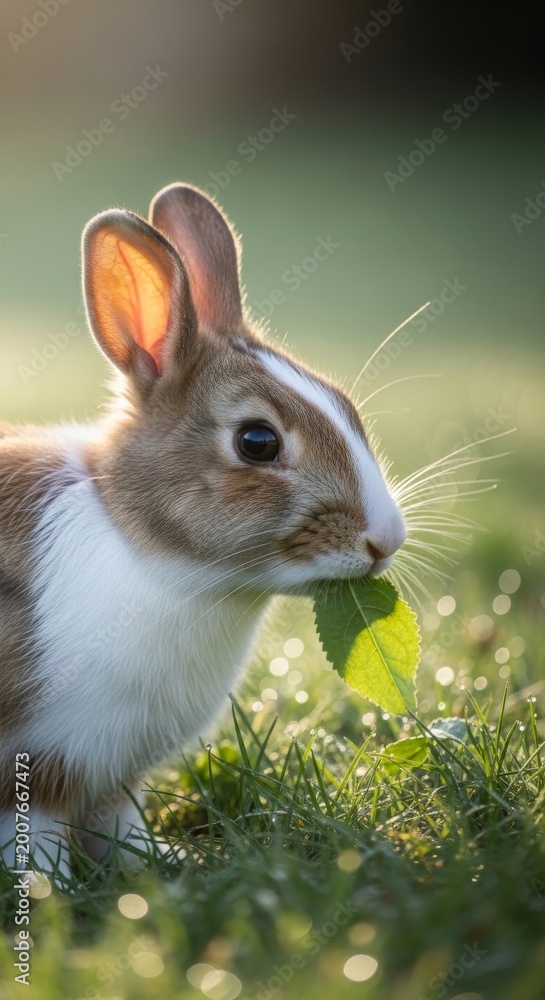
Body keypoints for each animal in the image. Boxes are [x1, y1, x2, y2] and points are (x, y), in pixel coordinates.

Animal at [0, 183, 406, 882]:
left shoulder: (113, 778)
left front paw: (164, 862)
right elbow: (35, 837)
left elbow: (120, 826)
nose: (387, 539)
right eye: (257, 441)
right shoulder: (36, 767)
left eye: (345, 405)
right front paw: (44, 889)